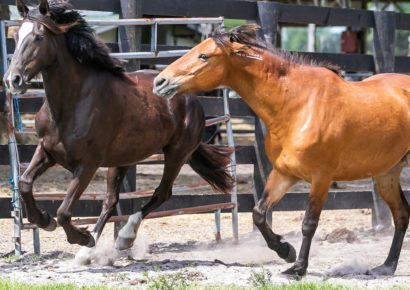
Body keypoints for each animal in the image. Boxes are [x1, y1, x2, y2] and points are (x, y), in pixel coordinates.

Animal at [3, 0, 234, 262]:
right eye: (15, 36)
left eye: (39, 37)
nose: (13, 80)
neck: (73, 102)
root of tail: (192, 99)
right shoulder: (47, 151)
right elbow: (24, 183)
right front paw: (44, 219)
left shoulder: (87, 165)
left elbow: (63, 211)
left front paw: (81, 236)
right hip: (122, 160)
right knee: (111, 201)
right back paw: (87, 253)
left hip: (176, 154)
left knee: (161, 194)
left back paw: (123, 237)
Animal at [153, 23, 410, 276]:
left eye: (204, 56)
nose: (160, 82)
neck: (299, 106)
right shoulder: (284, 173)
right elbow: (259, 213)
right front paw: (285, 251)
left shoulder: (321, 178)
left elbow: (309, 223)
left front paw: (298, 267)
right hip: (386, 174)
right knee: (401, 214)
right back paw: (386, 267)